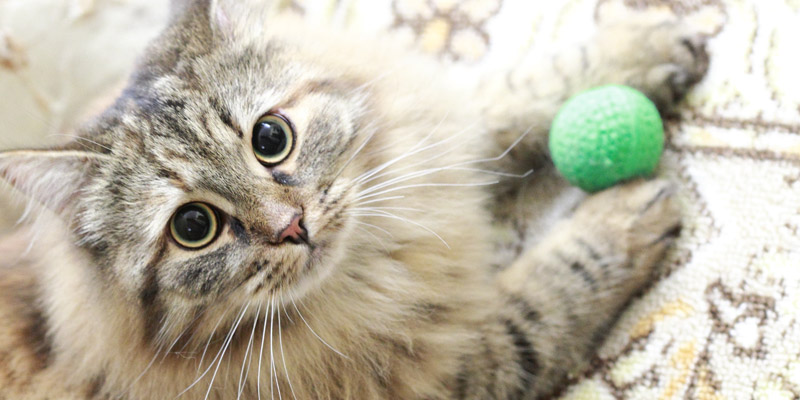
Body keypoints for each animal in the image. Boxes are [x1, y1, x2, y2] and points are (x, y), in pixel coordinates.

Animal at [0, 1, 708, 398]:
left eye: (270, 138)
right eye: (194, 226)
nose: (291, 226)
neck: (372, 270)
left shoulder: (430, 134)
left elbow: (500, 96)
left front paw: (639, 50)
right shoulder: (458, 371)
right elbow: (548, 296)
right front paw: (623, 214)